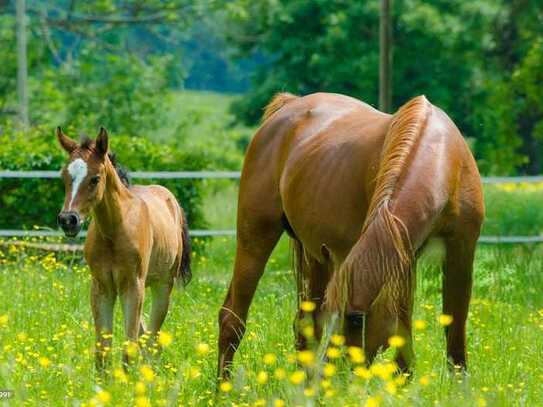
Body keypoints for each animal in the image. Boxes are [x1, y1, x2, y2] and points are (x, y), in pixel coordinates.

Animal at [56, 127, 192, 372]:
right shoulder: (102, 287)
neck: (114, 231)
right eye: (64, 177)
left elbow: (129, 347)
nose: (68, 220)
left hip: (161, 286)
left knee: (152, 338)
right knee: (145, 334)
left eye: (95, 179)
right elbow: (102, 350)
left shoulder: (133, 286)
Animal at [219, 92, 486, 380]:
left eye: (357, 318)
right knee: (231, 319)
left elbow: (453, 326)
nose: (333, 372)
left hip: (317, 258)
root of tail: (289, 104)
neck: (444, 162)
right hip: (256, 237)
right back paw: (223, 386)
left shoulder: (455, 254)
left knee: (305, 326)